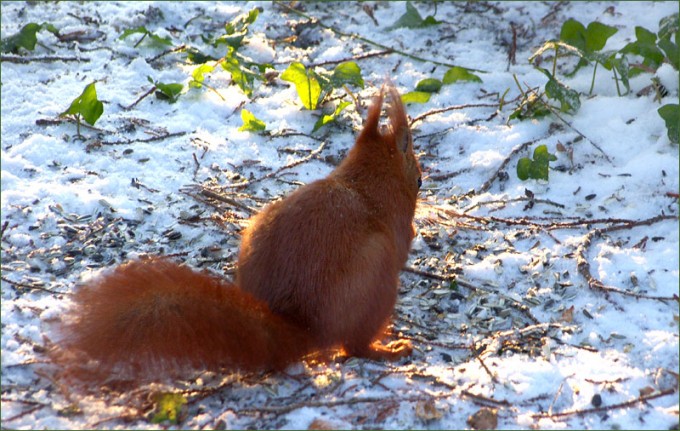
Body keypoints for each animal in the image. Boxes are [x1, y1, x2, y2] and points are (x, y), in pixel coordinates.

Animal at [50, 84, 422, 387]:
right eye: (418, 180)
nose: (422, 181)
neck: (363, 181)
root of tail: (302, 326)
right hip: (377, 276)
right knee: (354, 346)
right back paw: (389, 348)